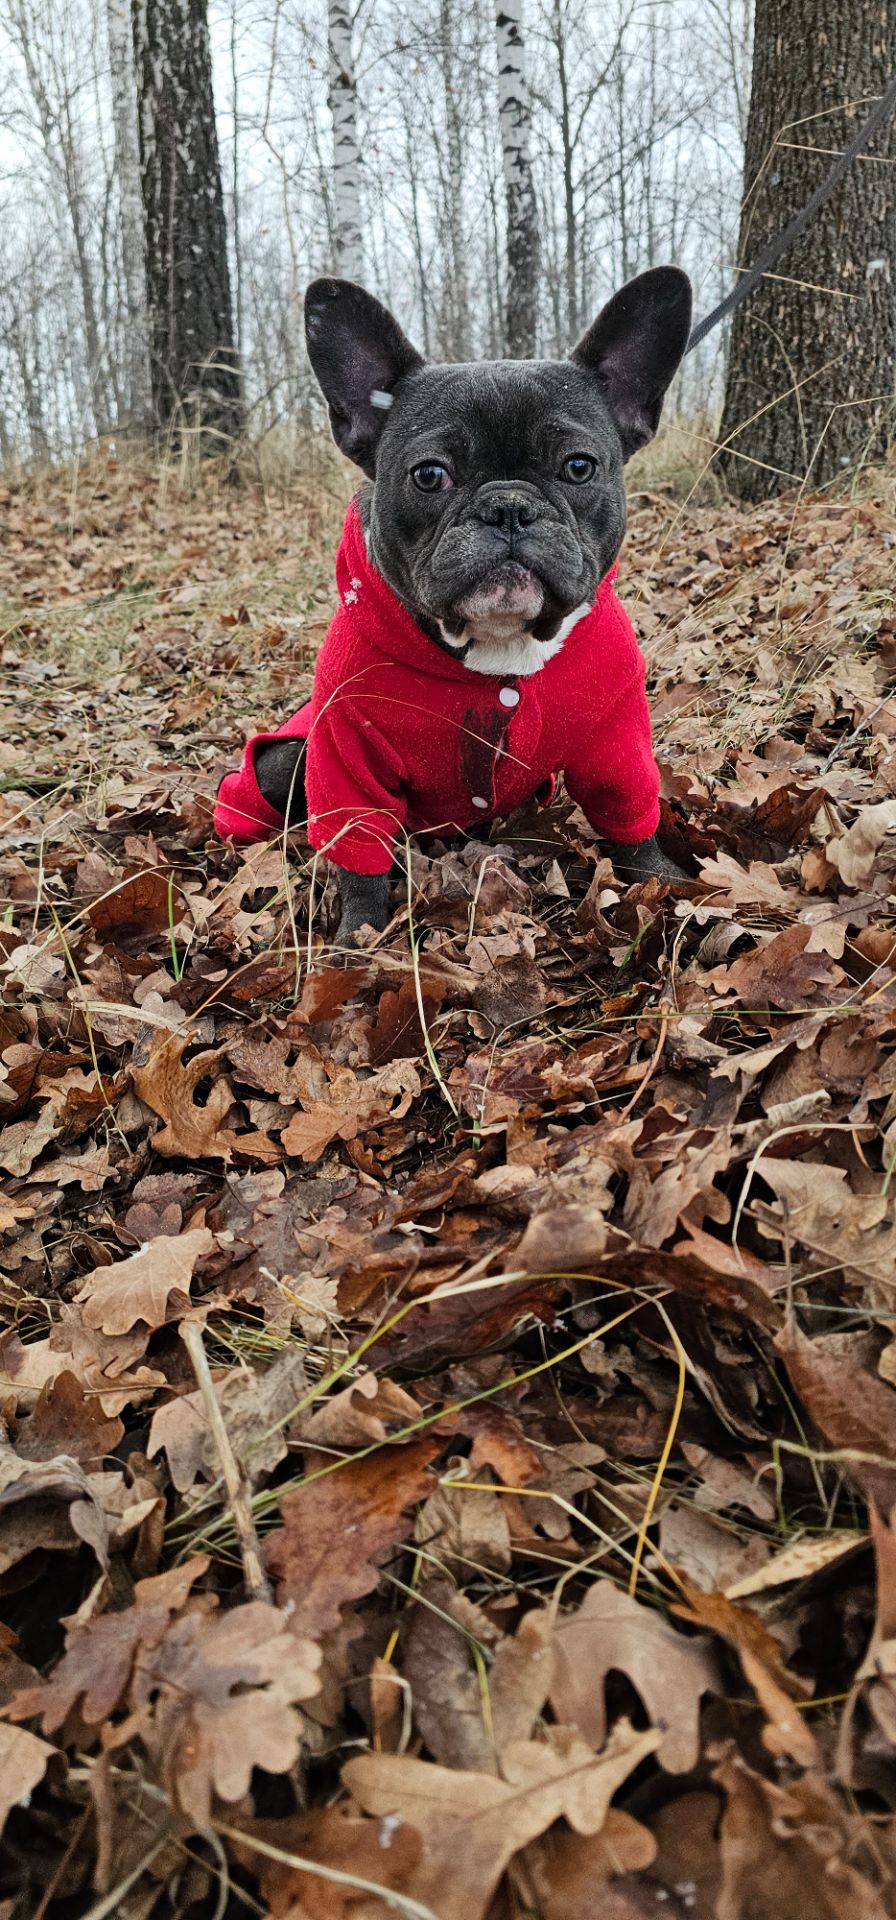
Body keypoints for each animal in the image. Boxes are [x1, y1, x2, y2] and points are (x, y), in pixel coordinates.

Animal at [247, 266, 694, 940]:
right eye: (429, 475)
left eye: (579, 467)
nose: (508, 506)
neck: (502, 645)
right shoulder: (346, 756)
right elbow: (359, 856)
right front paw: (359, 936)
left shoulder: (616, 735)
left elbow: (628, 811)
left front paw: (660, 884)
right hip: (289, 759)